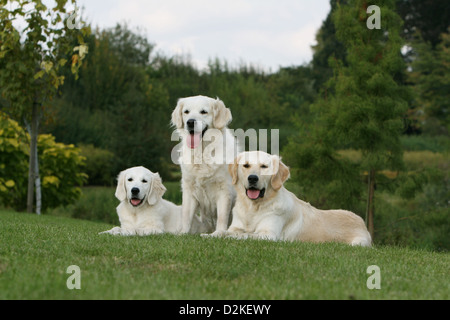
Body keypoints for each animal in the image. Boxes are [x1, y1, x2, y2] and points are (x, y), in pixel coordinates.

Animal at [171, 95, 241, 235]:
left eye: (203, 112)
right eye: (186, 112)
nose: (190, 122)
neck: (203, 152)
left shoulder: (224, 190)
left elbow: (222, 216)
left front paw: (219, 233)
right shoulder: (189, 189)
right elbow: (186, 215)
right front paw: (183, 233)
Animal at [219, 151, 372, 246]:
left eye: (264, 166)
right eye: (246, 165)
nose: (252, 178)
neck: (254, 207)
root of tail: (362, 222)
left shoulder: (268, 234)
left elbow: (244, 235)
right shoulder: (236, 226)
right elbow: (227, 231)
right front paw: (215, 234)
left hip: (358, 243)